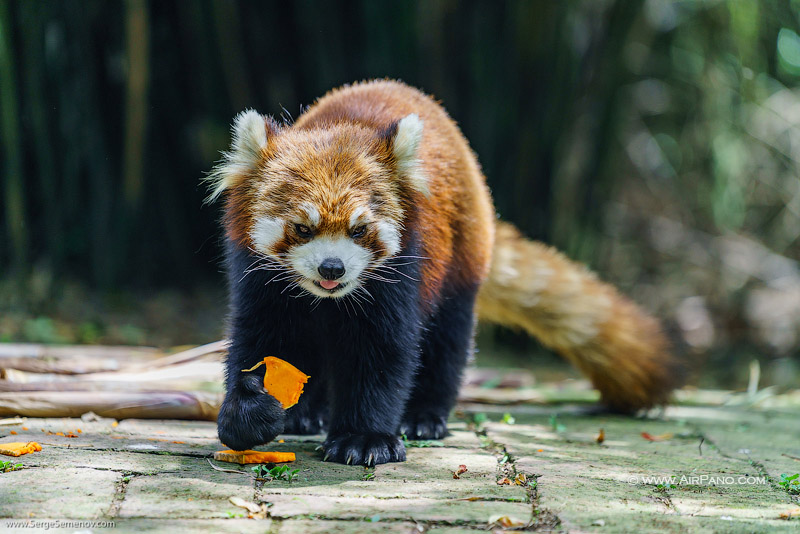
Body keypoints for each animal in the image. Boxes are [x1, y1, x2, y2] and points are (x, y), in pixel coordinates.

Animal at [208, 78, 680, 464]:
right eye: (303, 228)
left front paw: (363, 438)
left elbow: (384, 353)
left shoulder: (401, 272)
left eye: (359, 229)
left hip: (461, 259)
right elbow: (261, 341)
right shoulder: (257, 275)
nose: (333, 267)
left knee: (446, 341)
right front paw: (249, 412)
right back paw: (306, 415)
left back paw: (424, 416)